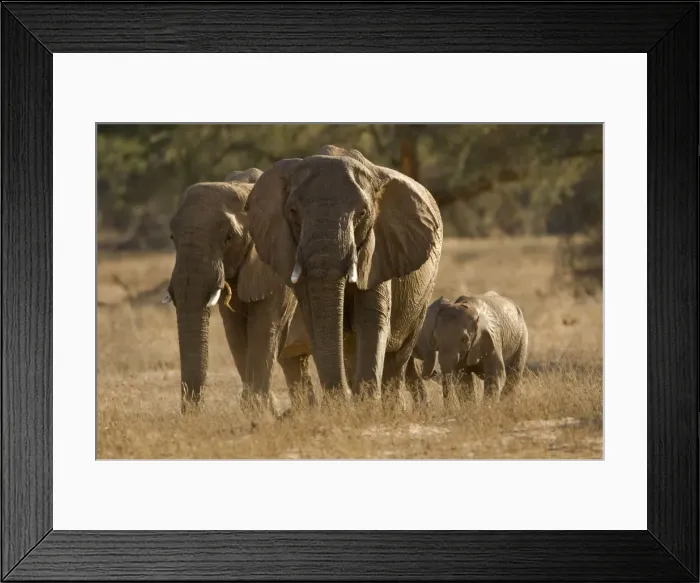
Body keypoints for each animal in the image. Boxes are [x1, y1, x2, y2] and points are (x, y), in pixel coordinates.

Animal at [163, 169, 314, 413]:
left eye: (229, 237)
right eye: (172, 237)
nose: (195, 415)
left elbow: (264, 329)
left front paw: (259, 410)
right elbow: (236, 335)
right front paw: (263, 410)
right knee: (296, 363)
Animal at [244, 145, 443, 404]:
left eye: (362, 213)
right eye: (293, 211)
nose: (343, 396)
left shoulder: (379, 250)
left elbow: (371, 318)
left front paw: (364, 403)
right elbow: (315, 318)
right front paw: (342, 403)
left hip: (423, 293)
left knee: (398, 358)